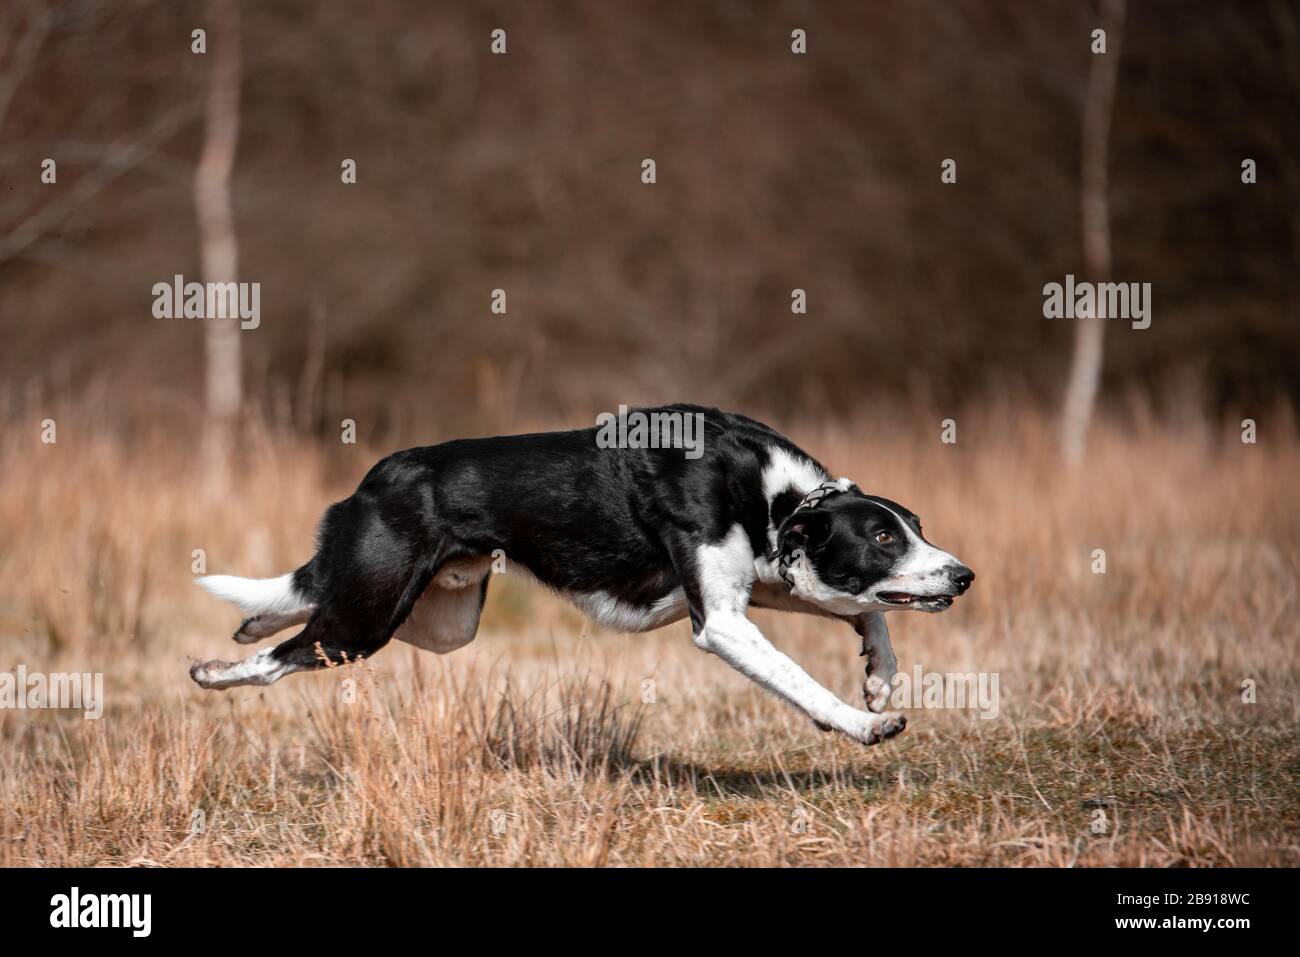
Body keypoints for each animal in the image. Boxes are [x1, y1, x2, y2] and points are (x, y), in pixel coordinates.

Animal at [188, 403, 972, 748]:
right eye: (881, 536)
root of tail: (371, 480)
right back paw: (216, 671)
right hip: (369, 618)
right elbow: (803, 679)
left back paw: (252, 620)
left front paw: (878, 675)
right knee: (279, 656)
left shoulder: (767, 579)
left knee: (304, 600)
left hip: (440, 620)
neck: (773, 492)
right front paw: (864, 721)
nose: (964, 575)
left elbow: (868, 611)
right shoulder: (721, 621)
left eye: (915, 525)